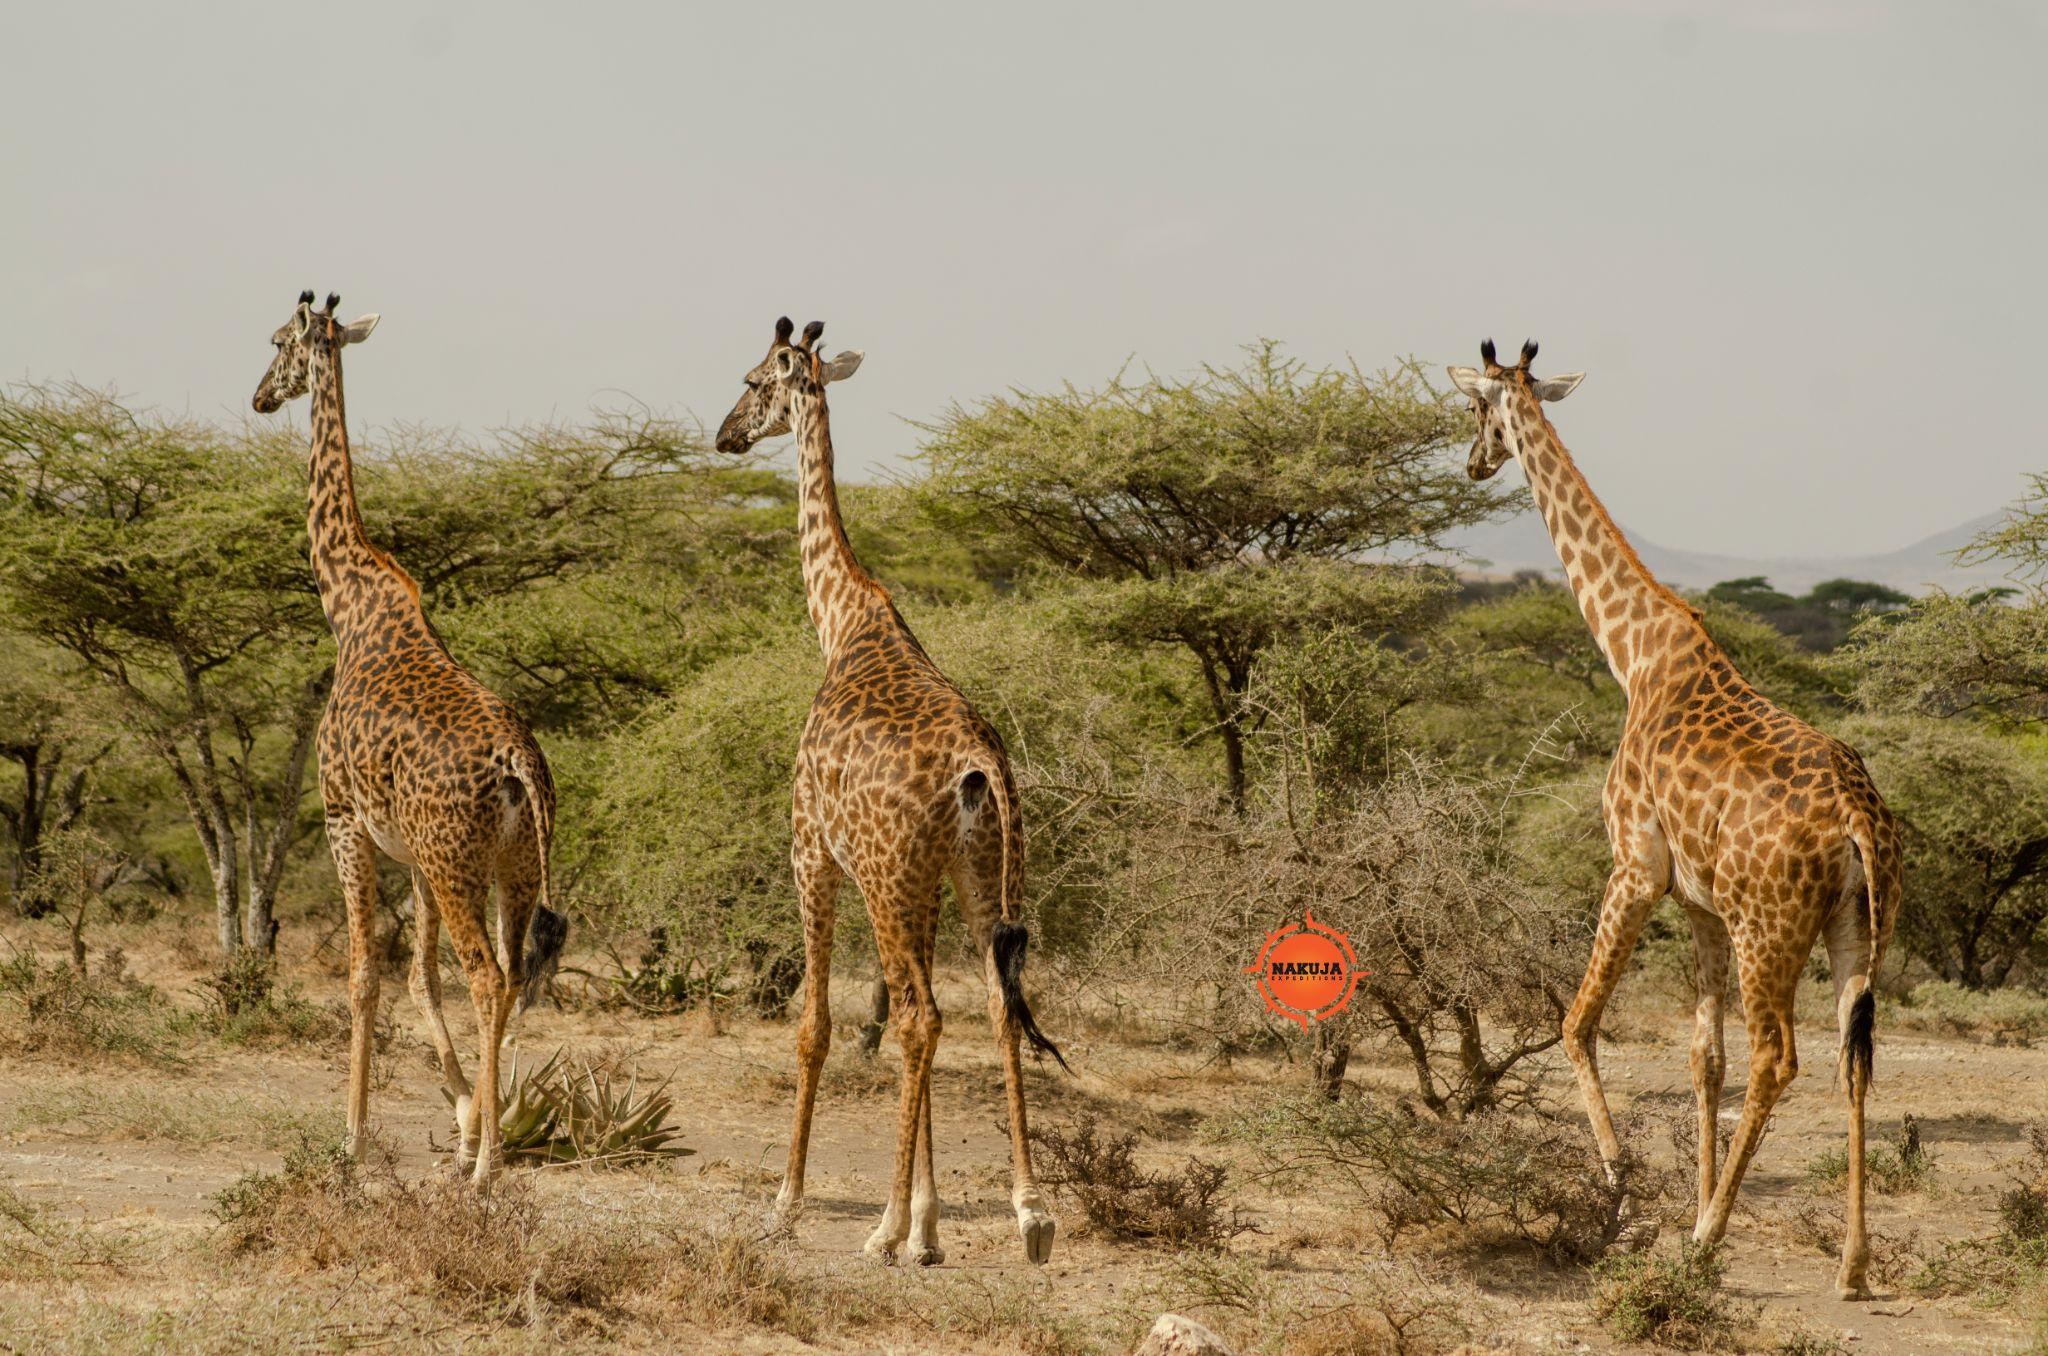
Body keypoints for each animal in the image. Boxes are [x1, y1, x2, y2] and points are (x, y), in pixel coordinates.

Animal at [252, 291, 568, 1188]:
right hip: (505, 866)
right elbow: (420, 978)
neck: (348, 601)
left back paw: (489, 1168)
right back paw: (483, 1145)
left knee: (489, 978)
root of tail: (517, 764)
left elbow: (365, 973)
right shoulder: (414, 856)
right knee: (506, 974)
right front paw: (461, 1114)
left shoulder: (343, 820)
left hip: (459, 862)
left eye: (279, 343)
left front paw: (353, 1139)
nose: (260, 396)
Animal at [715, 317, 1066, 1267]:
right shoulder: (927, 878)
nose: (723, 436)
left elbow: (815, 1026)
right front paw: (928, 1222)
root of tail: (978, 765)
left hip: (883, 874)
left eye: (754, 380)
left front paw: (792, 1206)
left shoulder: (811, 850)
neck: (840, 619)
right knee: (988, 1006)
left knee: (919, 1017)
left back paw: (876, 1233)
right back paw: (1030, 1214)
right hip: (977, 873)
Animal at [1447, 340, 1903, 1299]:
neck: (1635, 654)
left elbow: (1577, 1024)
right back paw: (1849, 1264)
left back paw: (1707, 1239)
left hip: (1771, 928)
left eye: (1475, 411)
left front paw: (1625, 1196)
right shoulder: (1698, 904)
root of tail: (1858, 820)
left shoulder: (1634, 865)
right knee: (1852, 1061)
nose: (1472, 464)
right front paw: (1685, 1200)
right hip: (1857, 928)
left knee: (1780, 1058)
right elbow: (1703, 1058)